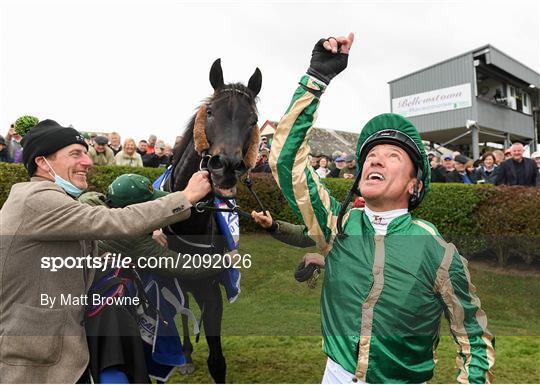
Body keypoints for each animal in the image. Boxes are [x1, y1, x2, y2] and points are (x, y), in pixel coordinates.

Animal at [160, 58, 262, 382]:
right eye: (212, 112)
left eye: (252, 120)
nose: (226, 166)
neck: (189, 222)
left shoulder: (212, 292)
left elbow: (217, 361)